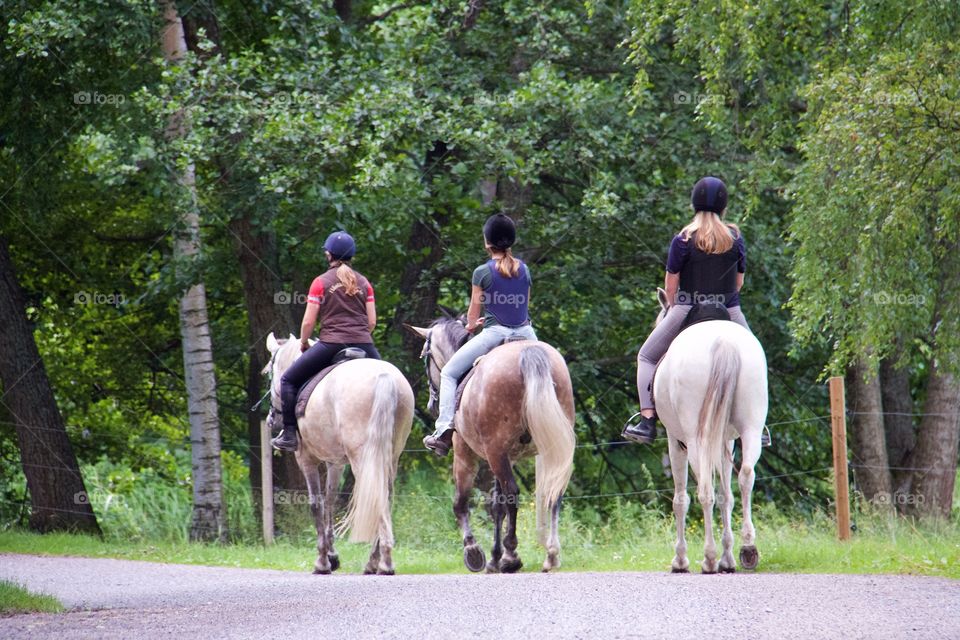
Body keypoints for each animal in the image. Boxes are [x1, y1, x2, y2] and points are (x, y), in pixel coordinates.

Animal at [264, 336, 414, 576]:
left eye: (270, 372)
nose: (271, 419)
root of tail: (384, 377)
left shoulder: (306, 459)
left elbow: (316, 504)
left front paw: (323, 562)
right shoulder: (335, 463)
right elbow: (330, 501)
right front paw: (333, 557)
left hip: (363, 458)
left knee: (374, 497)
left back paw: (382, 563)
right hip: (390, 457)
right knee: (385, 498)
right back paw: (378, 562)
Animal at [648, 290, 768, 576]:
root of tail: (724, 343)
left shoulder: (675, 442)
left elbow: (681, 499)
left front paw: (681, 560)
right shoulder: (727, 441)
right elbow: (727, 496)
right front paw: (728, 558)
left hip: (695, 440)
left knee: (704, 491)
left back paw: (709, 558)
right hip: (750, 428)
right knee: (746, 475)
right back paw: (748, 548)